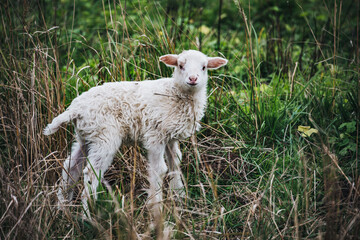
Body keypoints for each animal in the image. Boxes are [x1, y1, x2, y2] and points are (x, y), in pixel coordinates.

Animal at [43, 49, 226, 218]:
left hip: (86, 136)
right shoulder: (155, 136)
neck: (175, 93)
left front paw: (179, 197)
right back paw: (88, 217)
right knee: (90, 173)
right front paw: (156, 207)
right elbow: (159, 169)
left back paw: (63, 209)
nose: (193, 79)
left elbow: (175, 163)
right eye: (180, 66)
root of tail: (75, 109)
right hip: (104, 137)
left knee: (71, 167)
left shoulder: (170, 137)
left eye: (204, 67)